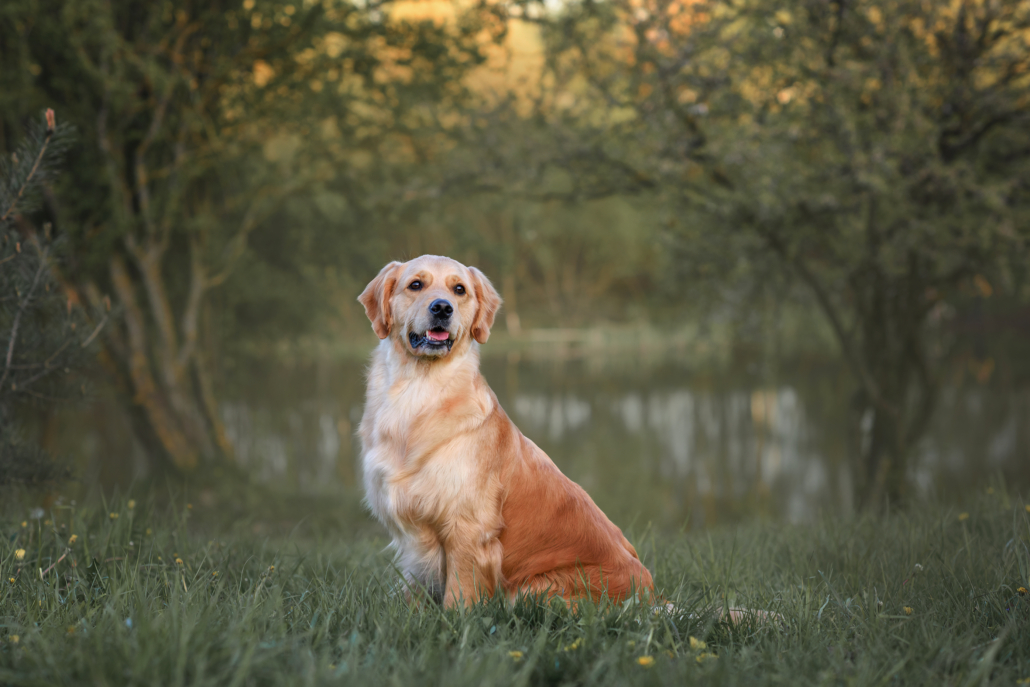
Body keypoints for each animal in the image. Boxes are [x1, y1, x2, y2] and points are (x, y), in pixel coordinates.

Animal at [360, 256, 650, 605]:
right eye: (416, 284)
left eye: (460, 289)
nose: (442, 307)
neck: (419, 391)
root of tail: (650, 590)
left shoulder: (468, 523)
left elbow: (460, 593)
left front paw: (454, 616)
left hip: (535, 589)